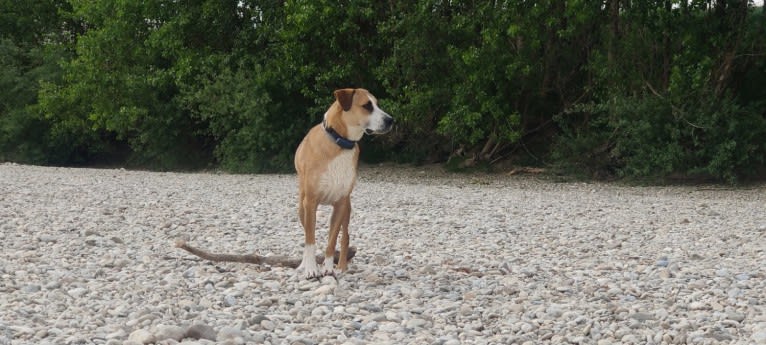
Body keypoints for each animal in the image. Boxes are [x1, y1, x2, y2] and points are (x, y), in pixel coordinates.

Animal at [296, 87, 396, 278]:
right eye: (367, 106)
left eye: (377, 104)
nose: (391, 120)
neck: (340, 144)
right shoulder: (311, 202)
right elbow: (310, 240)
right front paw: (311, 268)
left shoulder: (341, 203)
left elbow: (332, 240)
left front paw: (328, 268)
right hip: (302, 206)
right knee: (306, 234)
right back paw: (305, 264)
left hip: (347, 208)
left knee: (345, 237)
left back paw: (341, 266)